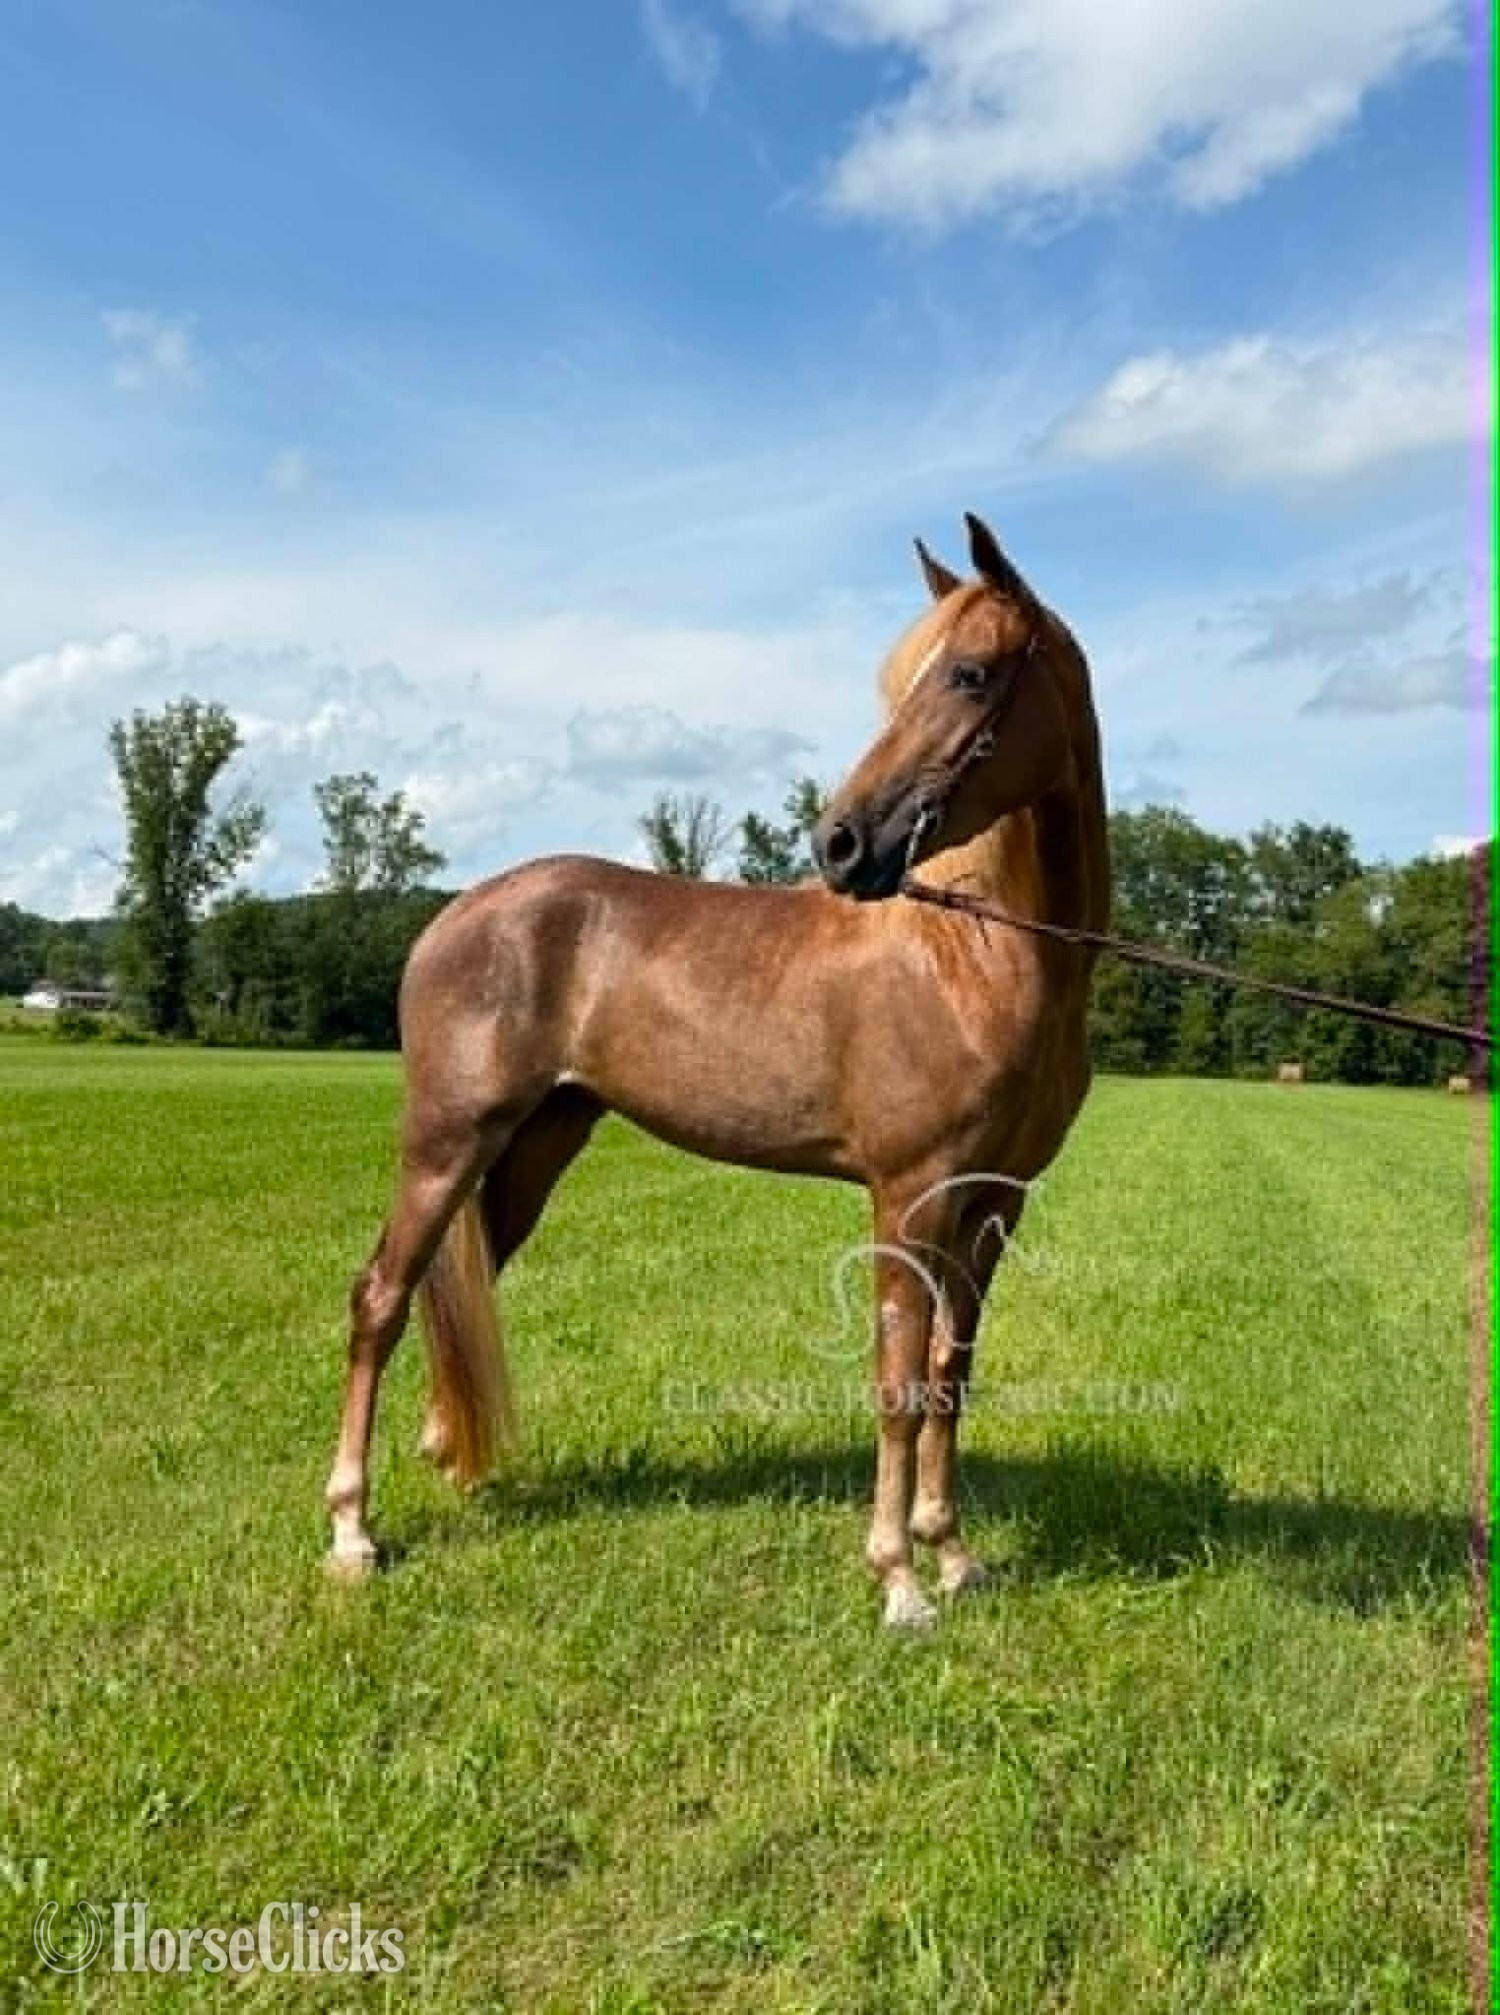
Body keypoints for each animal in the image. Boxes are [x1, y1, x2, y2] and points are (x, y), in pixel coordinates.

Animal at [325, 513, 1110, 1630]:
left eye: (968, 673)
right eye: (911, 677)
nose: (842, 842)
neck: (982, 957)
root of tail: (455, 915)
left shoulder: (995, 1202)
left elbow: (949, 1376)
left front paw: (953, 1553)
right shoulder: (909, 1196)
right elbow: (898, 1385)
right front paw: (899, 1580)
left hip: (530, 1152)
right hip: (445, 1143)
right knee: (379, 1298)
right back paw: (351, 1530)